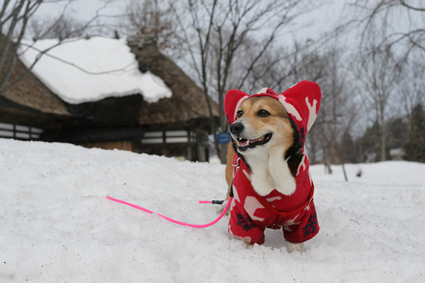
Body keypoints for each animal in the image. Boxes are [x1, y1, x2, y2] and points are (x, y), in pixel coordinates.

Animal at [224, 81, 320, 253]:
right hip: (229, 174)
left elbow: (297, 244)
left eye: (263, 112)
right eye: (240, 113)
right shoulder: (244, 216)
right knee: (229, 192)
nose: (234, 127)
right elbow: (251, 239)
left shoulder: (303, 217)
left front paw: (300, 257)